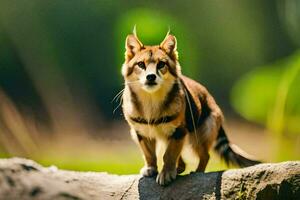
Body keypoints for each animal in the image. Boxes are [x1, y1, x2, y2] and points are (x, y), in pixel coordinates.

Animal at [121, 30, 260, 186]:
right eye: (140, 64)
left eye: (161, 64)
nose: (151, 77)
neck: (151, 101)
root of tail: (212, 100)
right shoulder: (141, 133)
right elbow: (149, 153)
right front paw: (151, 168)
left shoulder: (179, 131)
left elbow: (169, 155)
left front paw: (166, 173)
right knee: (184, 161)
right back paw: (179, 169)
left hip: (200, 133)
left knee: (205, 155)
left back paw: (197, 172)